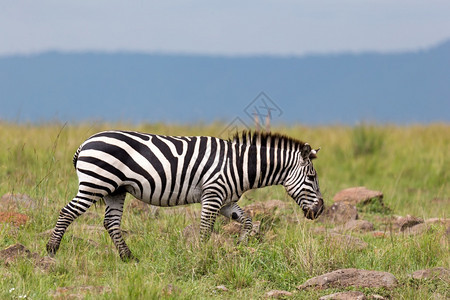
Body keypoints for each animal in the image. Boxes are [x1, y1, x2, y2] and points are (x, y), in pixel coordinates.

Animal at [46, 131, 324, 260]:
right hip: (96, 182)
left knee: (111, 223)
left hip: (116, 190)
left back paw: (128, 257)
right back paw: (51, 249)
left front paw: (241, 245)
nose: (320, 210)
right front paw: (201, 256)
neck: (240, 165)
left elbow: (247, 221)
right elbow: (205, 229)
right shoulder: (213, 193)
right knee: (67, 212)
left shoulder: (227, 201)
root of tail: (85, 143)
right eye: (312, 178)